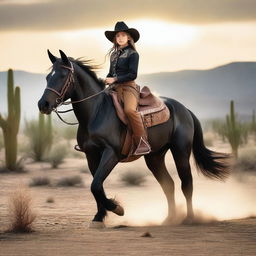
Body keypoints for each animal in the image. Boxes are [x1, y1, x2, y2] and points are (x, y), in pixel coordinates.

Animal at [38, 50, 230, 228]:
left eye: (62, 76)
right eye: (48, 77)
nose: (43, 104)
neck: (97, 112)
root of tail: (185, 110)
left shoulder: (111, 154)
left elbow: (96, 185)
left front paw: (117, 208)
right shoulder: (91, 155)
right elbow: (96, 185)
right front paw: (99, 218)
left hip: (181, 151)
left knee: (186, 183)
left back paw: (189, 219)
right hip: (154, 157)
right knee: (168, 184)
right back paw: (169, 219)